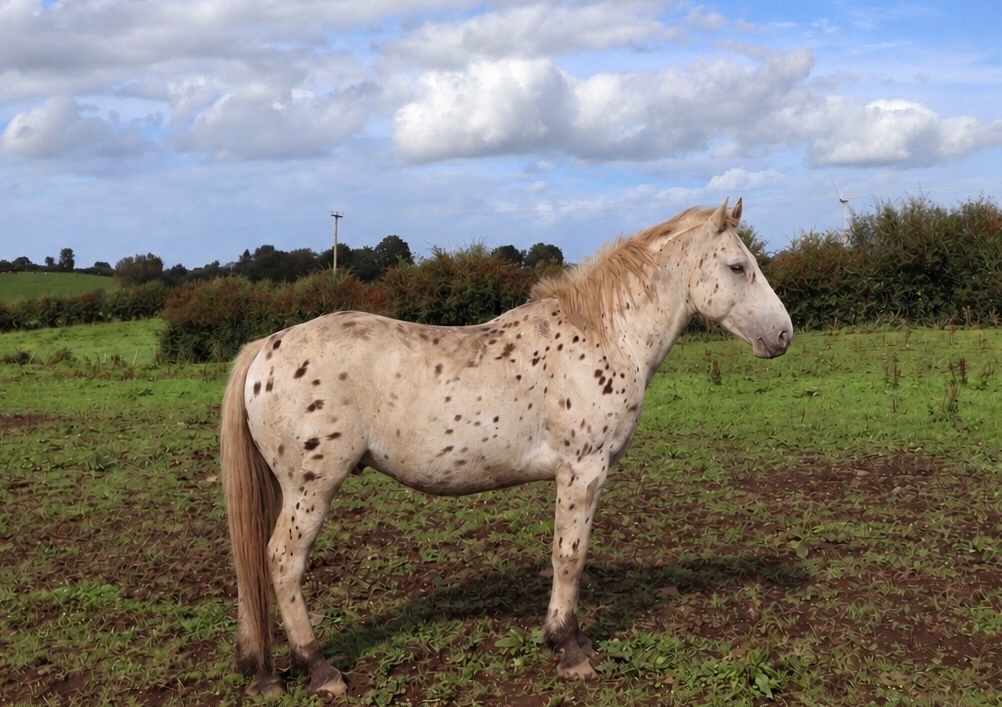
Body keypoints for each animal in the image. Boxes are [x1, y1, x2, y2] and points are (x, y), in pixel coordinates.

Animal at [219, 198, 792, 698]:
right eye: (738, 266)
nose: (783, 334)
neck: (602, 336)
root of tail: (265, 349)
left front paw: (573, 639)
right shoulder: (583, 471)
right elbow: (569, 556)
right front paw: (568, 648)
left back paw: (263, 673)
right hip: (311, 488)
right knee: (282, 561)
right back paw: (318, 668)